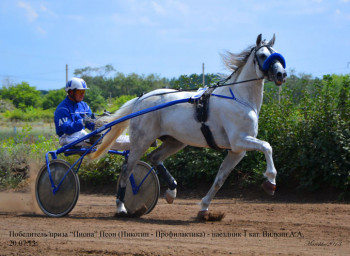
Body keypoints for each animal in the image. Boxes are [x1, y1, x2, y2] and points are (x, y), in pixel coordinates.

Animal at [90, 33, 288, 218]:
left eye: (278, 54)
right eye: (262, 55)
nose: (282, 74)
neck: (239, 98)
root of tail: (141, 98)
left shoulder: (237, 150)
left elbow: (220, 179)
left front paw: (204, 208)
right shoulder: (239, 140)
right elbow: (267, 146)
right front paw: (271, 182)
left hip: (175, 141)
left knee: (154, 157)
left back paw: (171, 191)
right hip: (142, 140)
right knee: (127, 169)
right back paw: (121, 207)